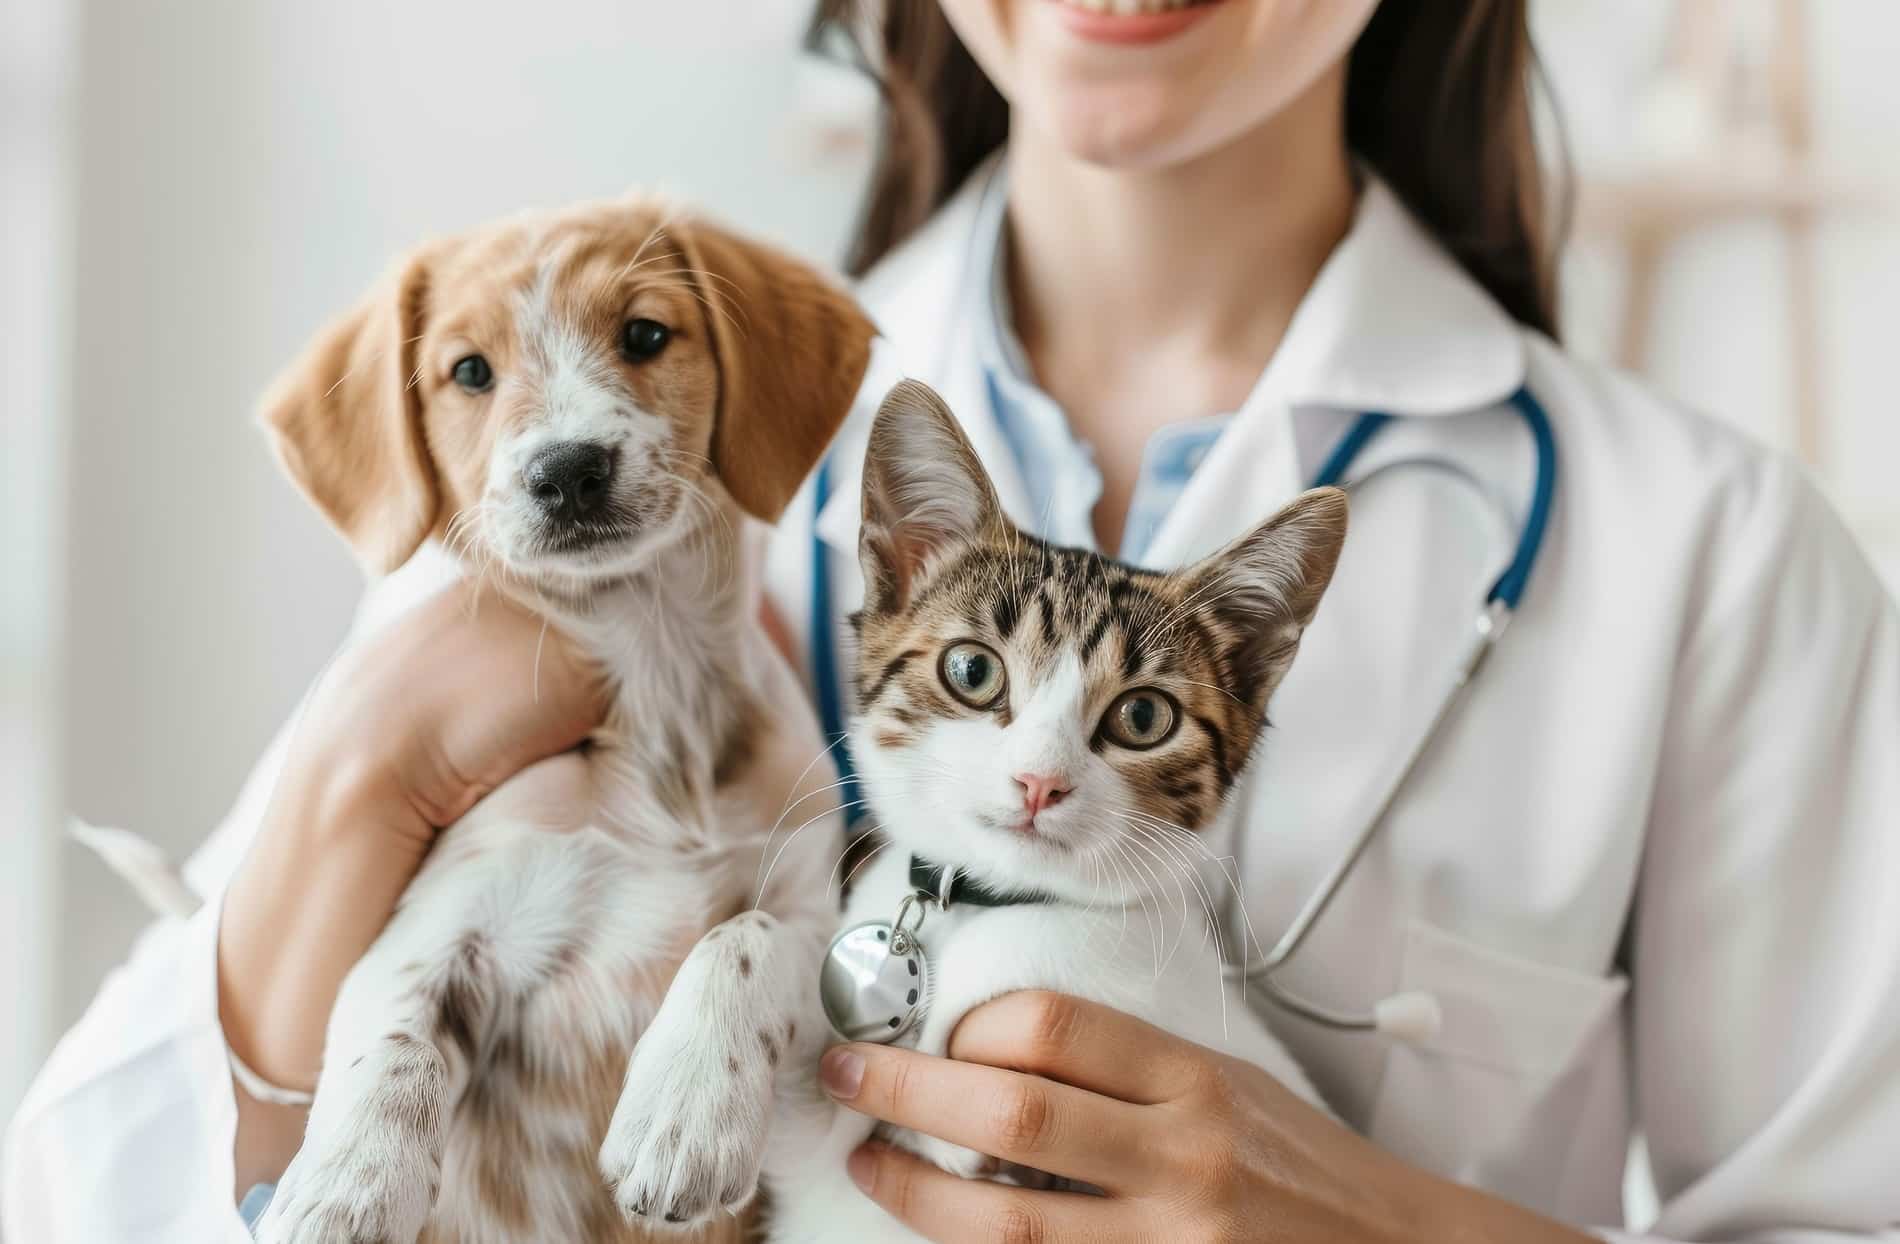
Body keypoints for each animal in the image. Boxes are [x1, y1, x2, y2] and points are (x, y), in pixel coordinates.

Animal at [250, 197, 870, 1244]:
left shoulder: (815, 923)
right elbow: (393, 1046)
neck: (654, 678)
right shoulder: (438, 923)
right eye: (469, 371)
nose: (568, 471)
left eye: (645, 335)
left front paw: (685, 1111)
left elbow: (741, 943)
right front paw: (347, 1187)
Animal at [600, 383, 1345, 1238]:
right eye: (972, 671)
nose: (1039, 782)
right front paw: (681, 1104)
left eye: (1143, 717)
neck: (984, 909)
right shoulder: (830, 1131)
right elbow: (757, 936)